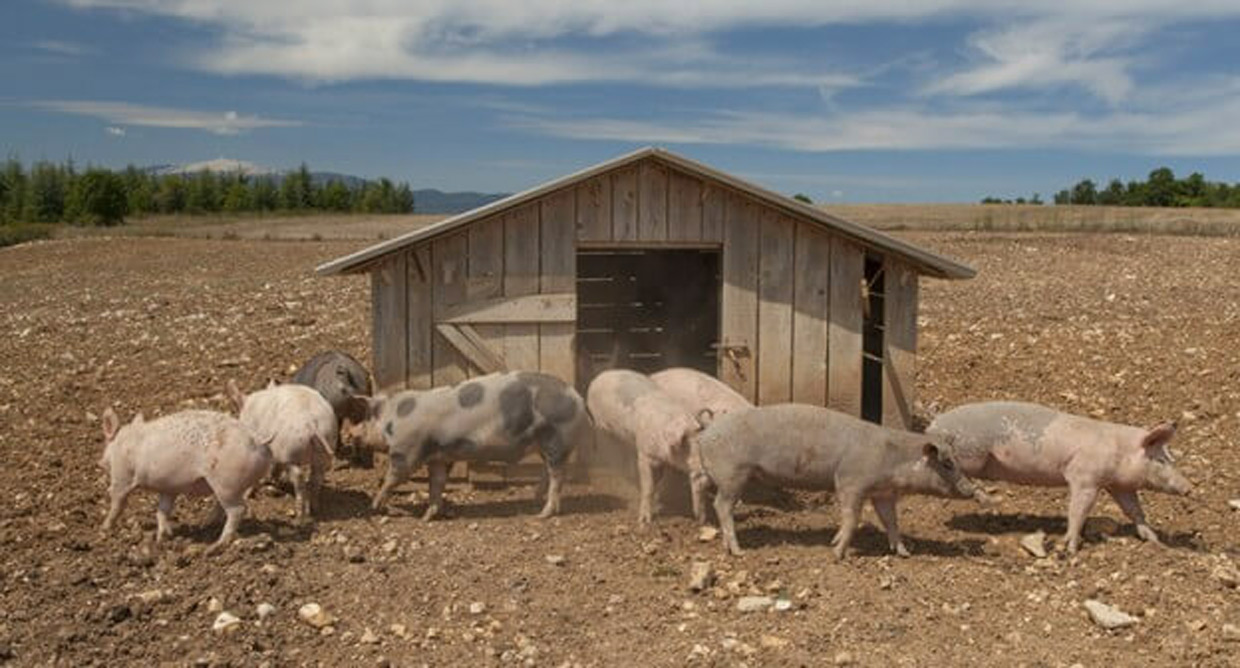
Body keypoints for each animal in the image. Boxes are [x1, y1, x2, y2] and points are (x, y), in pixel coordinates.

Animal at [228, 381, 339, 518]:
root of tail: (311, 423)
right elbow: (276, 465)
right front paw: (273, 480)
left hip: (292, 451)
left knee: (299, 476)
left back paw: (300, 512)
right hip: (325, 445)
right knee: (316, 477)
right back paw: (315, 509)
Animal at [339, 374, 590, 520]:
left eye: (364, 418)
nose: (349, 433)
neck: (393, 418)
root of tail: (577, 398)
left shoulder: (407, 451)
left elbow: (394, 478)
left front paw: (374, 505)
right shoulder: (440, 457)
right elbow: (437, 483)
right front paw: (428, 516)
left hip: (557, 439)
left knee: (557, 476)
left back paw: (542, 515)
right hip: (546, 444)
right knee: (548, 472)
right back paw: (535, 498)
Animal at [585, 369, 714, 525]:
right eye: (687, 444)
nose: (706, 470)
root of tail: (599, 376)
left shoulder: (661, 461)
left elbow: (657, 483)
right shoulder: (644, 454)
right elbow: (648, 487)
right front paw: (644, 521)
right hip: (601, 424)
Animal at [699, 404, 987, 562]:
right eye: (947, 463)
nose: (972, 489)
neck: (893, 460)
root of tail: (708, 430)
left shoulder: (883, 494)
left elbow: (891, 521)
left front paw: (904, 553)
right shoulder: (850, 482)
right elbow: (852, 518)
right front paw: (836, 553)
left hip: (720, 474)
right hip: (733, 474)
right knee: (722, 505)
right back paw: (738, 551)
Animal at [932, 401, 1190, 555]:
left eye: (1171, 458)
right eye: (1160, 460)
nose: (1189, 488)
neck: (1120, 451)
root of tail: (935, 424)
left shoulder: (1119, 485)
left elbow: (1134, 510)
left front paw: (1154, 539)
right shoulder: (1084, 477)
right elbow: (1078, 510)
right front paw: (1069, 548)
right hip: (971, 453)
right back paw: (986, 499)